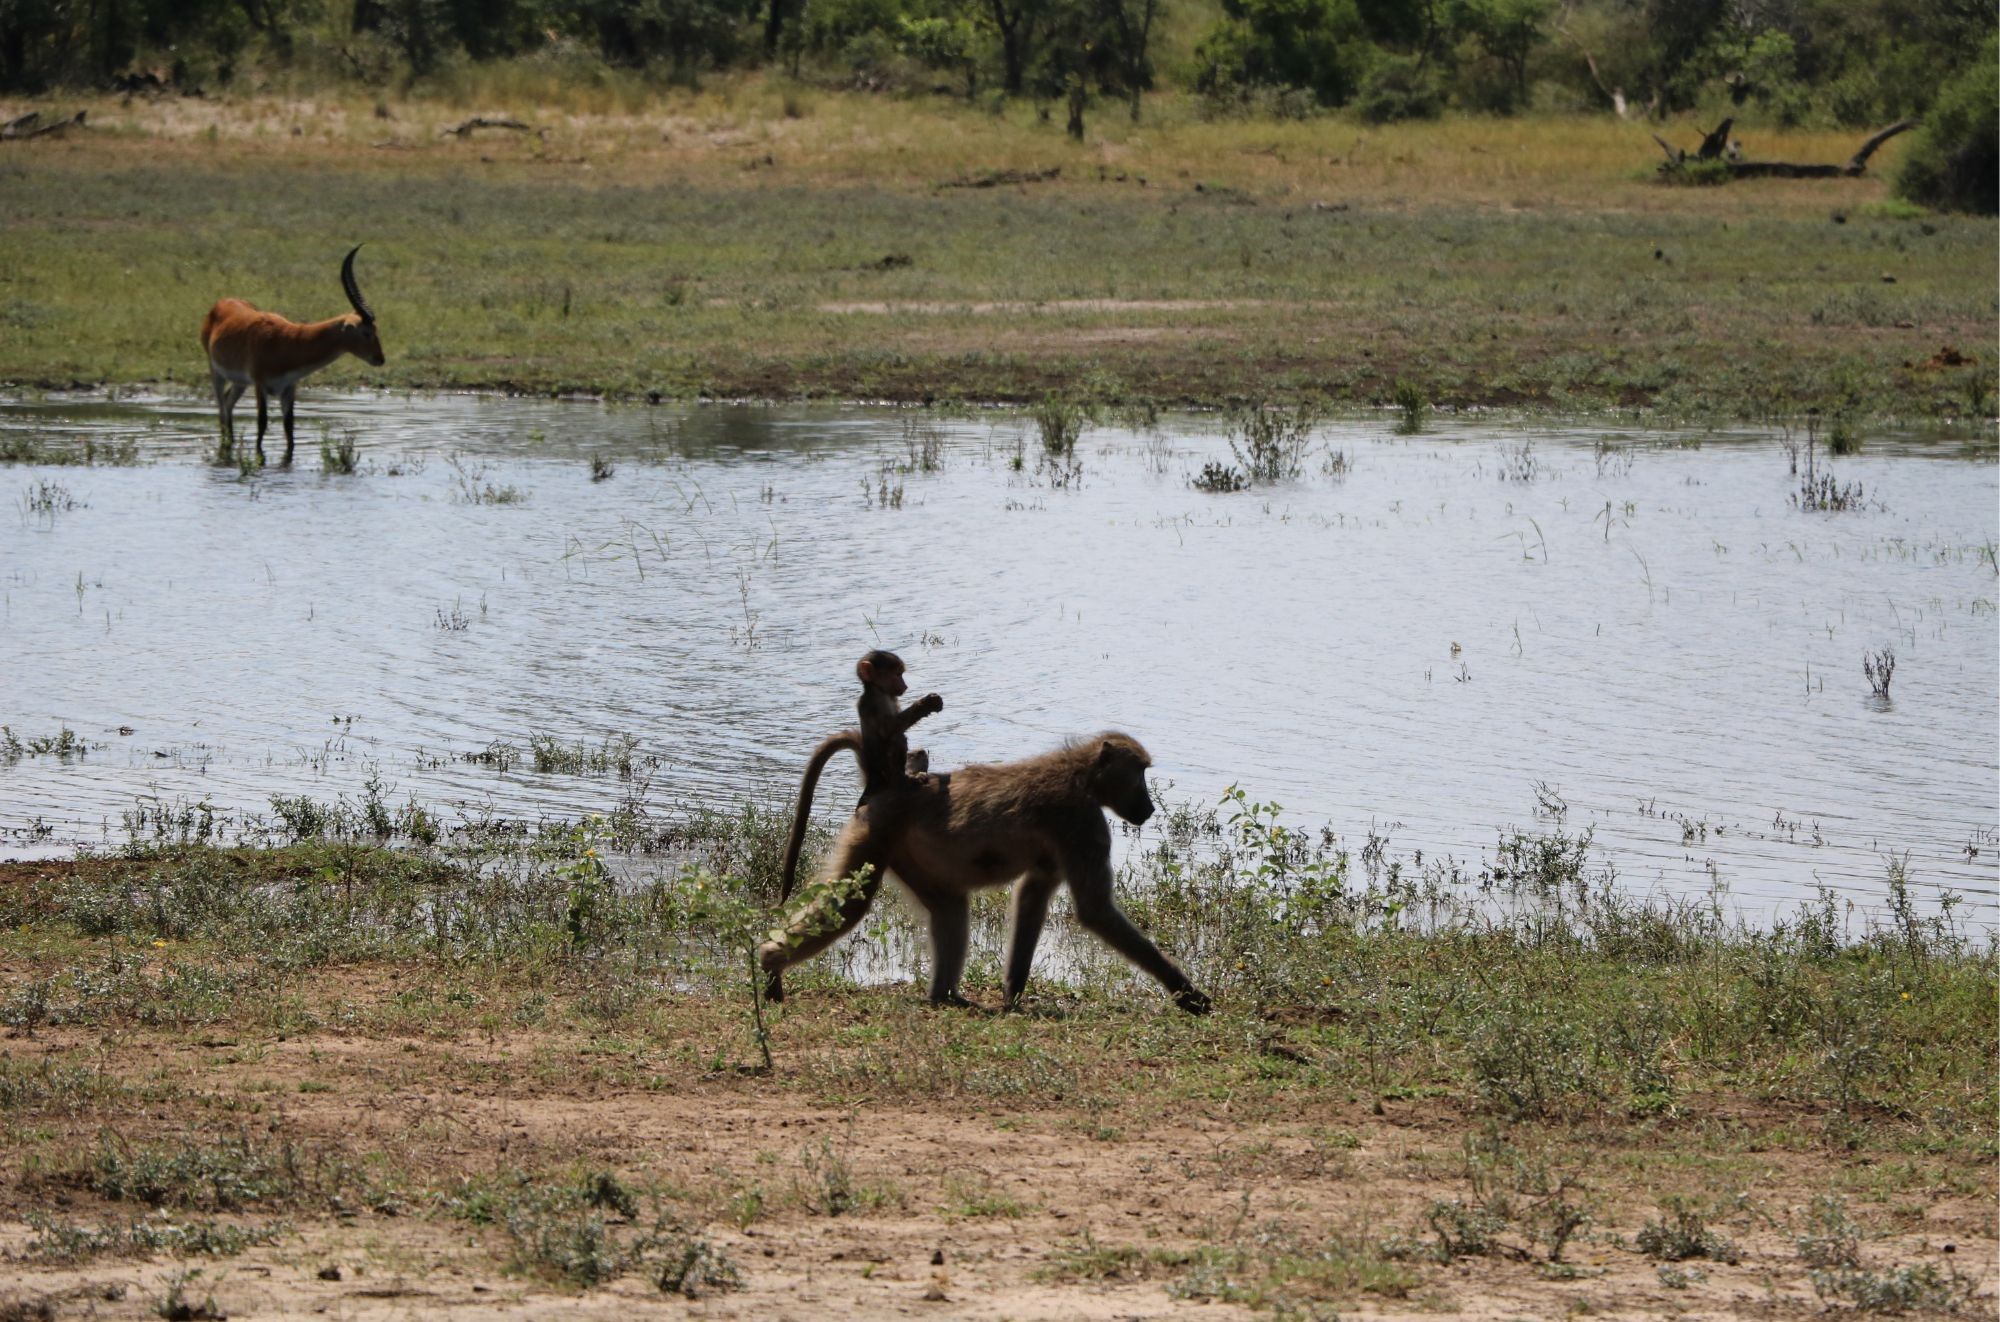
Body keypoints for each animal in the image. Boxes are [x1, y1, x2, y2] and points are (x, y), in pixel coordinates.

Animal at [202, 246, 386, 464]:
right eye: (366, 332)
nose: (380, 358)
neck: (289, 343)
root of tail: (221, 303)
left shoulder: (289, 387)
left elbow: (289, 427)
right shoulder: (260, 384)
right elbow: (262, 422)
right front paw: (259, 459)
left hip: (240, 382)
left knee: (228, 404)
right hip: (216, 372)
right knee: (221, 408)